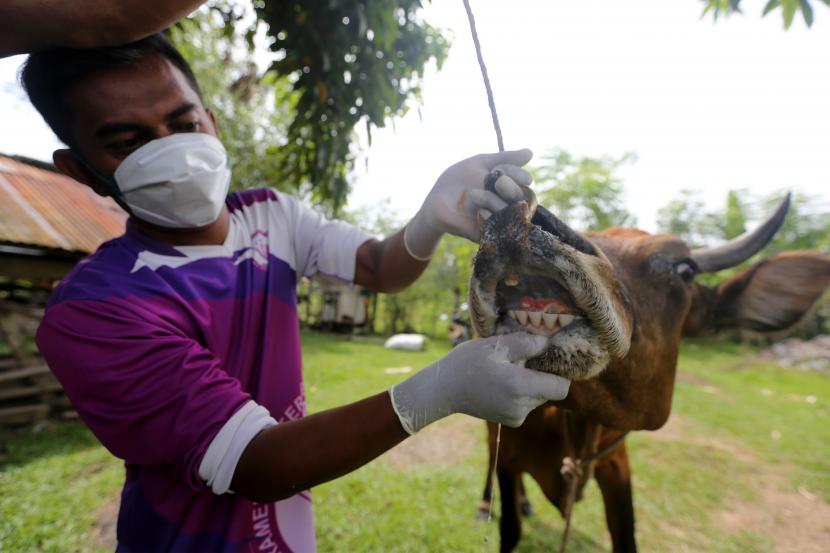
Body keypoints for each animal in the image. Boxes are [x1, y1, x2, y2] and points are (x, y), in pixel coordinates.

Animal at [468, 196, 830, 548]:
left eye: (685, 269)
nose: (520, 219)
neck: (579, 423)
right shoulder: (508, 454)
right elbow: (510, 528)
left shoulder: (616, 464)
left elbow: (626, 535)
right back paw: (487, 503)